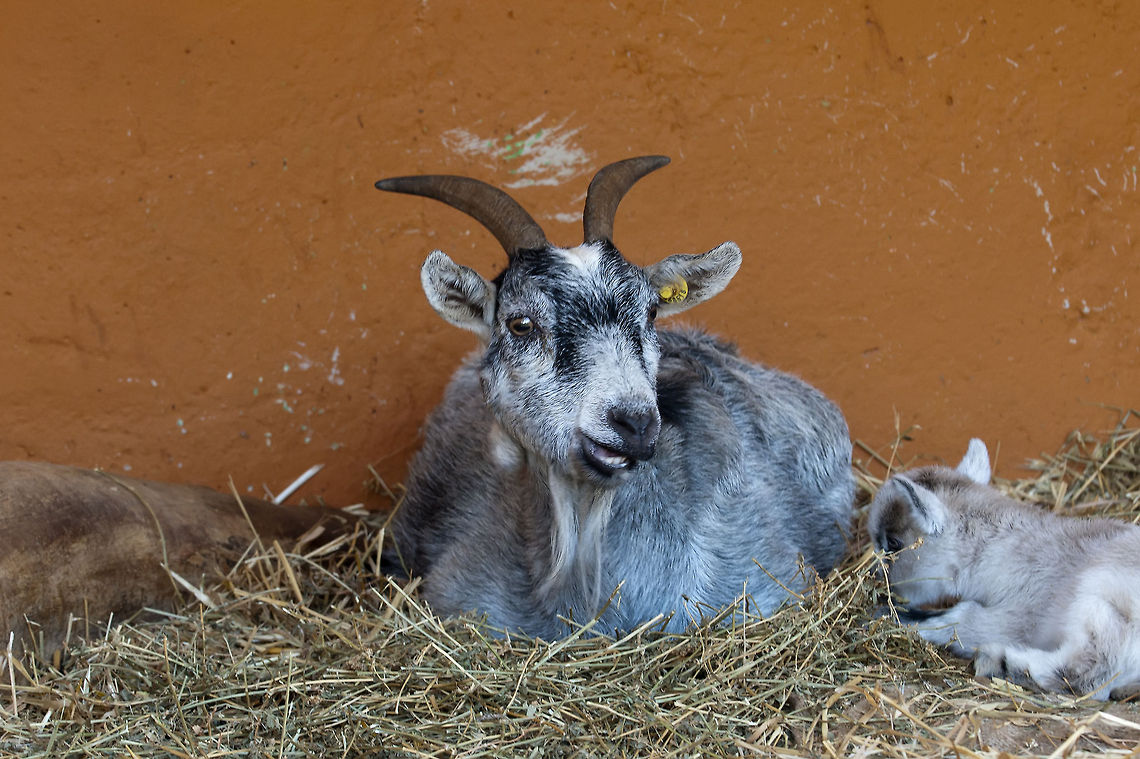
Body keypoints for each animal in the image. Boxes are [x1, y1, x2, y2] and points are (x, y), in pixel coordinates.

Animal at [868, 438, 1140, 700]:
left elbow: (963, 619)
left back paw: (999, 662)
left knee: (1088, 674)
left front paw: (889, 617)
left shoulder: (1022, 617)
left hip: (1100, 600)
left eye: (893, 543)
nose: (882, 586)